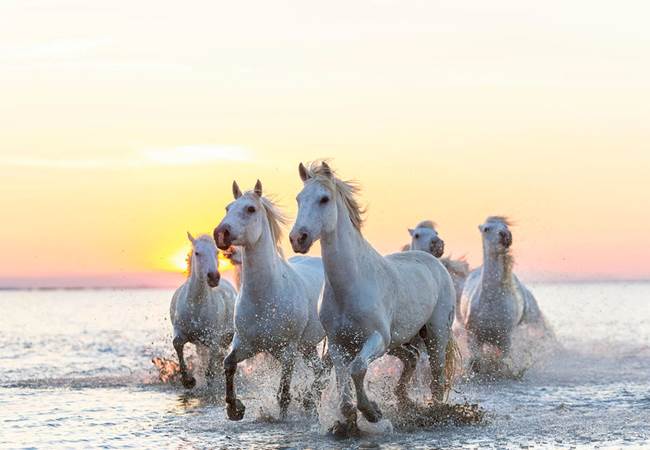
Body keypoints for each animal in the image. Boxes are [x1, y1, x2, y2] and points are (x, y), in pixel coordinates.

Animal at [170, 233, 237, 389]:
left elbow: (210, 371)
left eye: (217, 252)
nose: (213, 277)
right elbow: (177, 343)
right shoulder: (180, 331)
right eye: (197, 253)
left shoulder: (213, 339)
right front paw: (188, 381)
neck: (196, 306)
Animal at [213, 180, 329, 421]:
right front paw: (235, 408)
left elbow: (283, 394)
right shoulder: (247, 344)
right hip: (307, 347)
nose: (220, 234)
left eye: (250, 209)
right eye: (228, 208)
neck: (264, 298)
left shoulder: (288, 352)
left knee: (324, 369)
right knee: (318, 369)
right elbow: (228, 364)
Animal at [289, 161, 458, 434]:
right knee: (411, 358)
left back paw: (434, 412)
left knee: (437, 374)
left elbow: (357, 369)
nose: (298, 238)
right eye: (299, 198)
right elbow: (342, 378)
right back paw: (403, 401)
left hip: (435, 334)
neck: (350, 286)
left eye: (324, 199)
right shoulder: (338, 344)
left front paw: (373, 413)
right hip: (400, 341)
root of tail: (436, 264)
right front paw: (346, 421)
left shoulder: (377, 338)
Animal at [459, 216, 548, 373]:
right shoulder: (473, 336)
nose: (505, 235)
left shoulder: (504, 339)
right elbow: (476, 361)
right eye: (486, 229)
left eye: (506, 226)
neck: (491, 301)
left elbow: (501, 362)